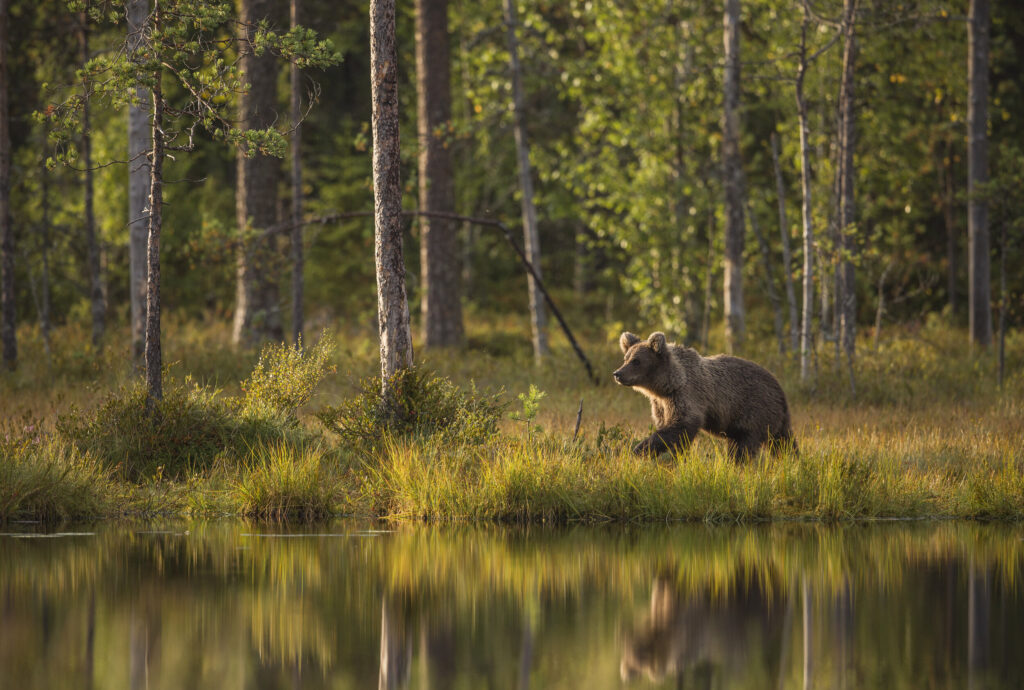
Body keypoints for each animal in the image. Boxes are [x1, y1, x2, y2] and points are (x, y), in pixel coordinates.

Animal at [613, 331, 795, 460]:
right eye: (625, 358)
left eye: (636, 361)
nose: (617, 374)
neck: (667, 385)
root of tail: (780, 388)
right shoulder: (661, 404)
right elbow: (668, 427)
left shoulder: (687, 395)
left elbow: (681, 425)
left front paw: (638, 450)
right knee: (783, 442)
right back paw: (791, 460)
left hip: (754, 411)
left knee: (744, 447)